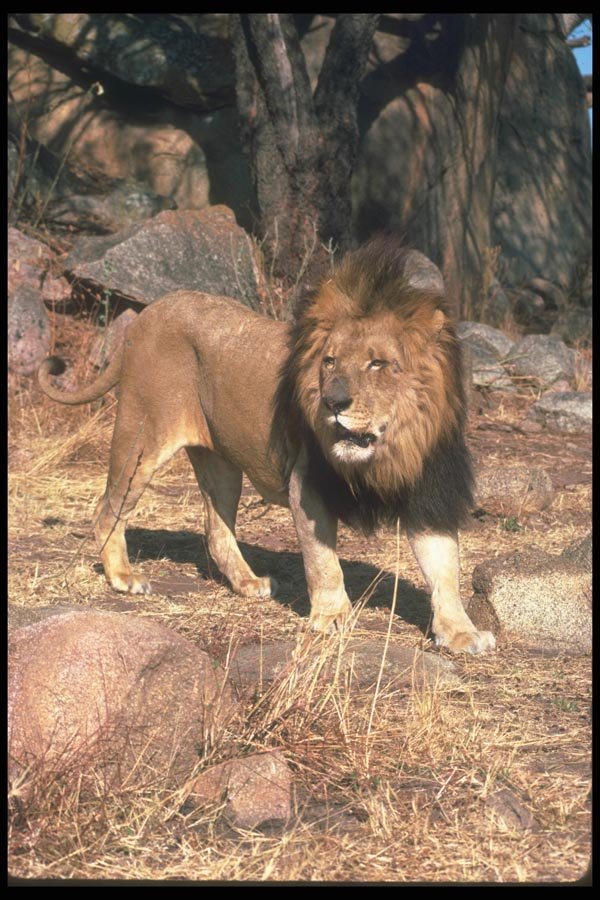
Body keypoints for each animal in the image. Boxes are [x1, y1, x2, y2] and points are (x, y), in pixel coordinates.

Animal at [38, 235, 495, 654]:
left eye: (378, 363)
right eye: (329, 361)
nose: (333, 403)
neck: (388, 451)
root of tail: (151, 310)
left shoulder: (429, 494)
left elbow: (445, 570)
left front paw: (462, 632)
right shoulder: (307, 485)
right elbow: (323, 563)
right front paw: (331, 616)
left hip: (220, 463)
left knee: (215, 528)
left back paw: (248, 582)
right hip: (142, 434)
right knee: (108, 506)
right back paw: (122, 576)